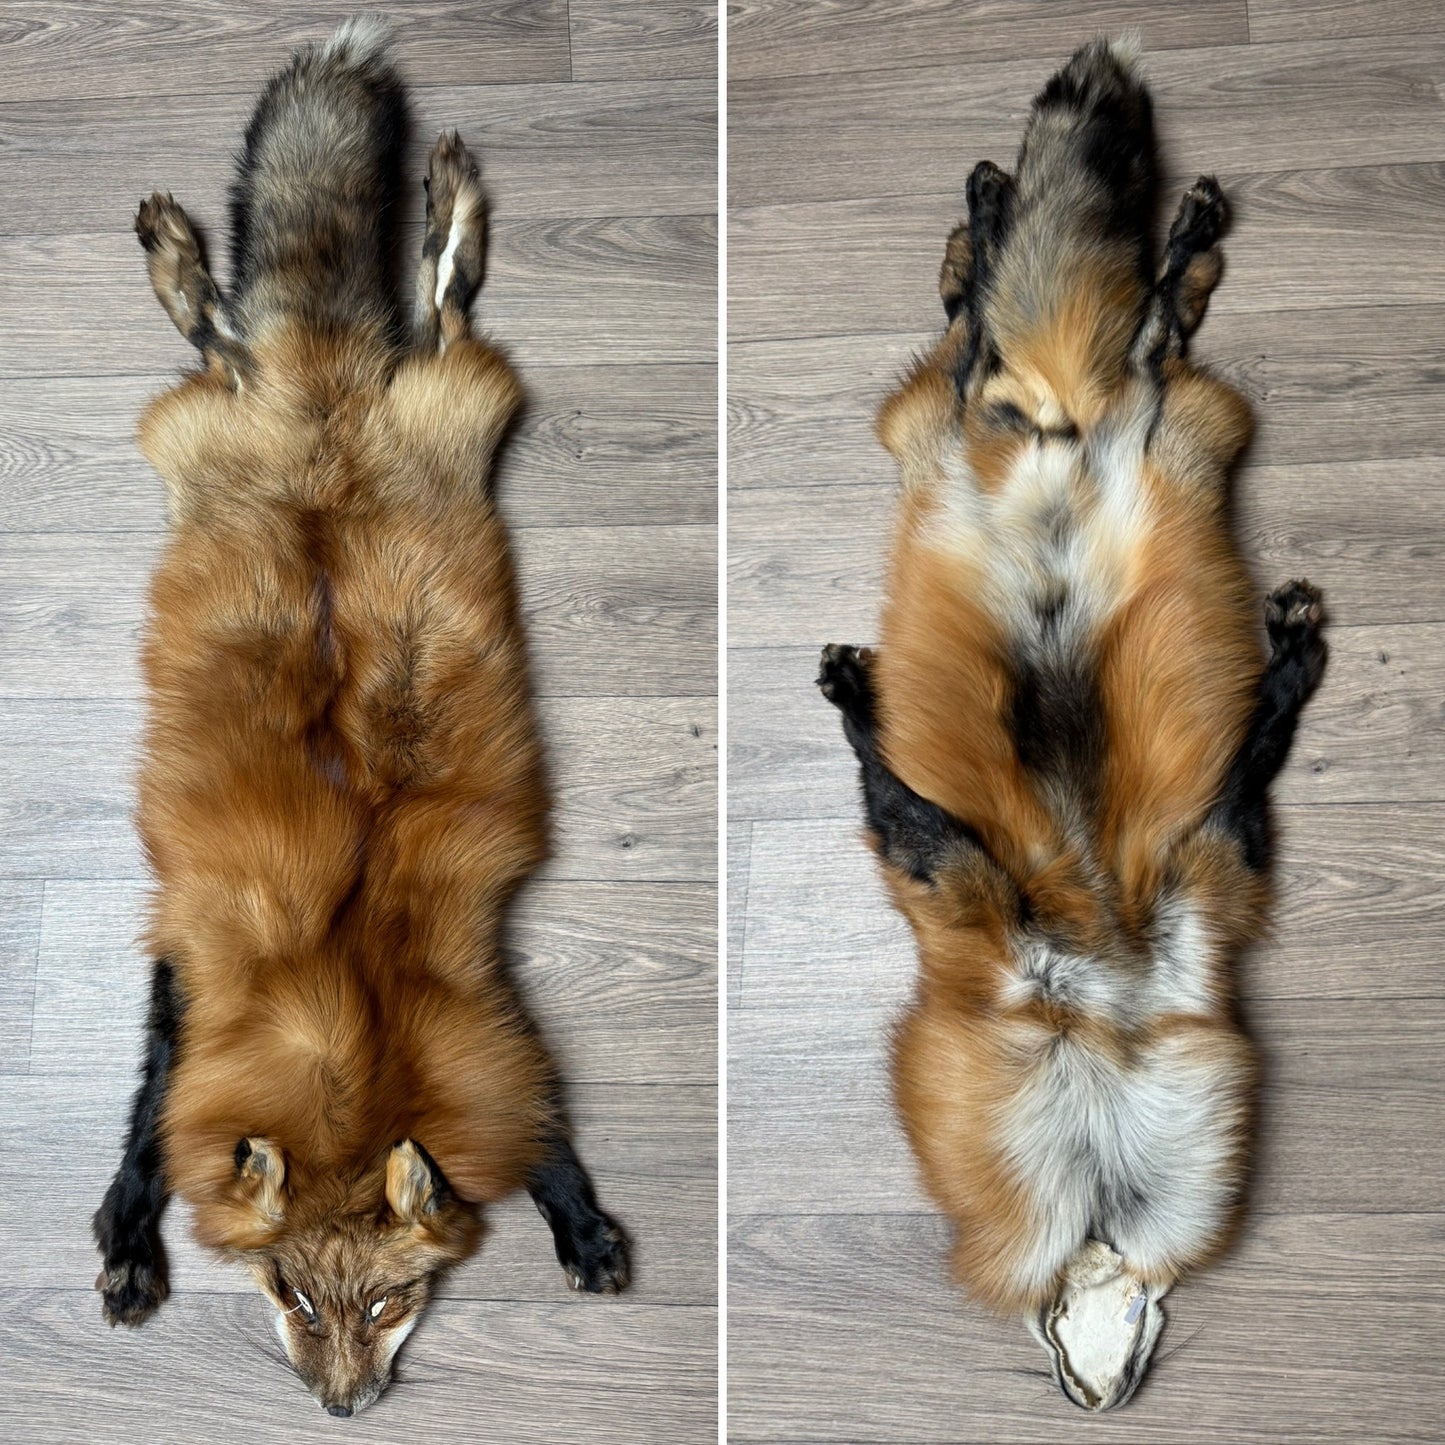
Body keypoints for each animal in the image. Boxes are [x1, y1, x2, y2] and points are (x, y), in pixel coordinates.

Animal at [92, 18, 629, 1417]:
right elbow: (146, 1109)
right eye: (288, 1293)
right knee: (230, 332)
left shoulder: (478, 996)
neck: (345, 1016)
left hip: (451, 402)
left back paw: (440, 202)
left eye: (388, 1302)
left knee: (430, 306)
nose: (342, 1409)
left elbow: (542, 1123)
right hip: (234, 421)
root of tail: (320, 397)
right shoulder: (192, 960)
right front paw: (126, 1233)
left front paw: (580, 1220)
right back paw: (178, 257)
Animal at [819, 39, 1326, 1410]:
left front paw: (1293, 662)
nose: (1097, 1389)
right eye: (1063, 1358)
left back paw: (1056, 224)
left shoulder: (1201, 874)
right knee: (1013, 337)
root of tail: (1060, 421)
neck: (1096, 1004)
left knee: (1093, 335)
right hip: (973, 434)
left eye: (1109, 1357)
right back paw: (1005, 216)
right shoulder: (974, 892)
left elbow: (1250, 755)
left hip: (1140, 429)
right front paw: (849, 696)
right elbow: (900, 801)